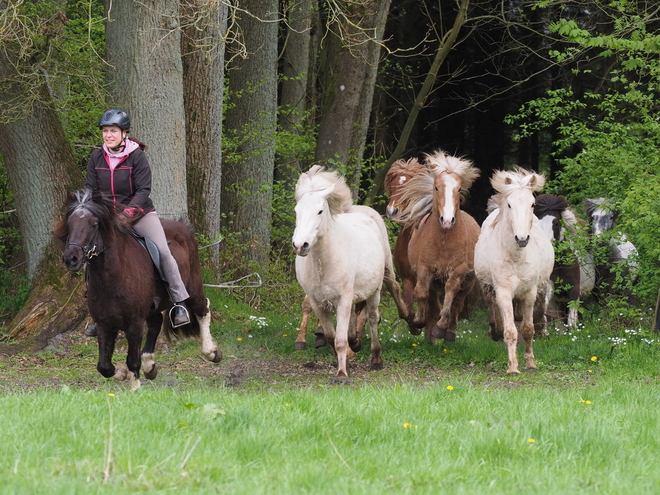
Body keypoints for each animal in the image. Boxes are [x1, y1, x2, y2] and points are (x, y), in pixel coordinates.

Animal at [53, 192, 222, 390]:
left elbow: (132, 361)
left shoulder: (134, 324)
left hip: (192, 286)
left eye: (93, 224)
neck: (113, 276)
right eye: (70, 223)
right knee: (156, 322)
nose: (70, 258)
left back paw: (211, 352)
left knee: (203, 308)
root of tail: (184, 227)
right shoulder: (104, 324)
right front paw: (122, 373)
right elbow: (104, 366)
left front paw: (134, 390)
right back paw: (150, 366)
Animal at [474, 169, 556, 374]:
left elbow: (527, 329)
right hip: (488, 288)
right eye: (510, 205)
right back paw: (495, 330)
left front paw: (530, 363)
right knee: (493, 308)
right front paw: (512, 366)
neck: (516, 256)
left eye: (532, 204)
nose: (522, 238)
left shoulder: (529, 292)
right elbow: (510, 331)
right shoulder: (503, 292)